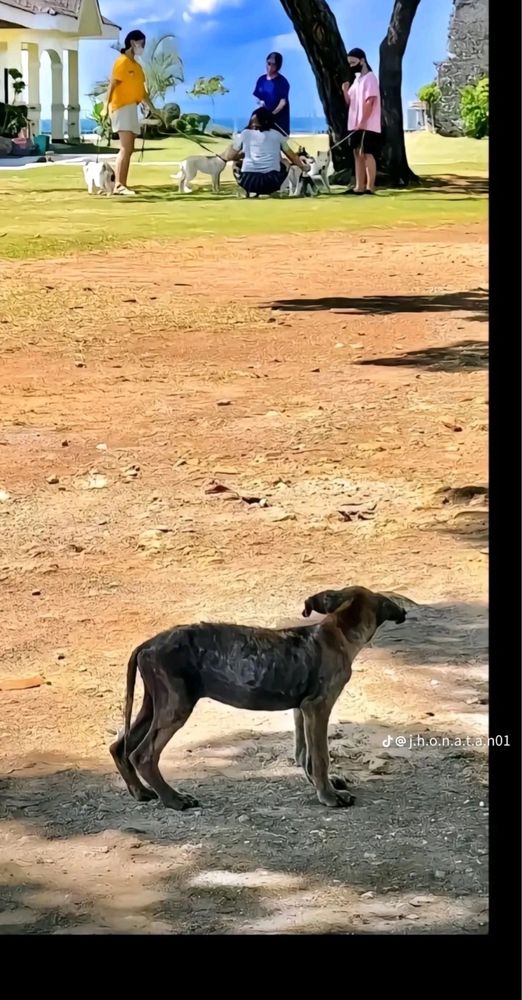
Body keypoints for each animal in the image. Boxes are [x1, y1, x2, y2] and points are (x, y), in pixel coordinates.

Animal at [108, 588, 402, 808]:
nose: (403, 612)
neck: (338, 631)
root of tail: (147, 644)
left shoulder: (302, 709)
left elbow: (304, 753)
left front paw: (321, 784)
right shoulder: (318, 707)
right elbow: (320, 756)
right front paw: (329, 796)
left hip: (155, 704)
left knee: (119, 746)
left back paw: (141, 792)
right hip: (176, 706)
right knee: (143, 754)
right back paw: (173, 799)